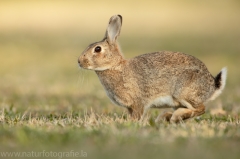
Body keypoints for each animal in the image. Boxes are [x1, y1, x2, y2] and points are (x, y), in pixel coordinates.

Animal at [78, 14, 227, 122]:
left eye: (97, 49)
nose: (79, 61)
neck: (115, 66)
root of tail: (212, 86)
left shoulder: (138, 101)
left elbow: (137, 115)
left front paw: (130, 123)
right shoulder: (130, 106)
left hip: (184, 92)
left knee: (201, 109)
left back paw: (174, 116)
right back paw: (167, 117)